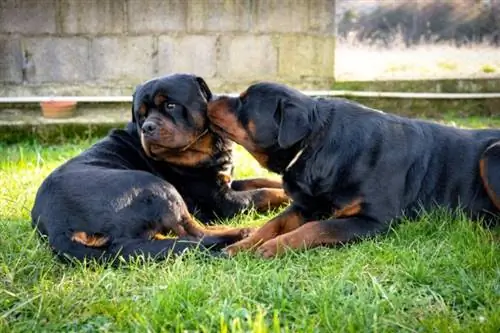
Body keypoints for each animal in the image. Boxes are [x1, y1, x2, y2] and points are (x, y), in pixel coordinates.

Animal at [31, 74, 288, 262]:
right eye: (141, 115)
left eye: (171, 105)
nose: (148, 127)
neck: (204, 148)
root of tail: (59, 228)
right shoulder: (221, 201)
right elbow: (264, 193)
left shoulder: (225, 181)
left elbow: (261, 181)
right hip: (154, 186)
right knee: (194, 232)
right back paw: (243, 232)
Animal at [207, 81, 500, 256]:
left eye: (244, 101)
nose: (211, 96)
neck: (316, 145)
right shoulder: (306, 204)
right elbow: (272, 224)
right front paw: (241, 245)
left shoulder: (374, 220)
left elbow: (317, 228)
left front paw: (274, 247)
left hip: (491, 155)